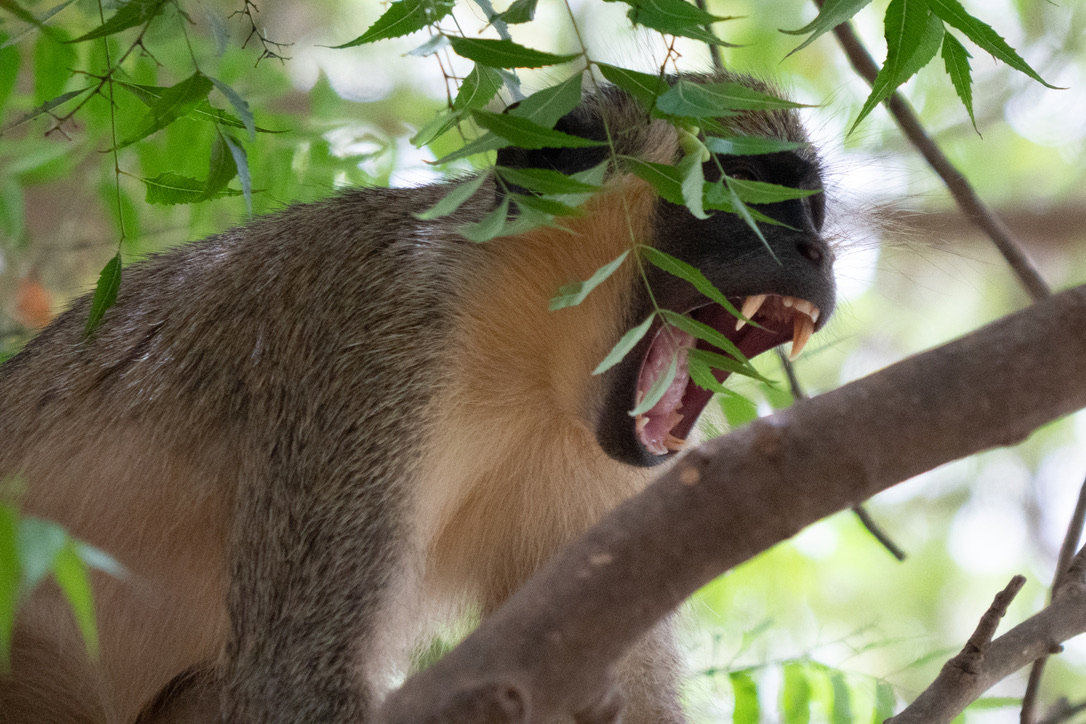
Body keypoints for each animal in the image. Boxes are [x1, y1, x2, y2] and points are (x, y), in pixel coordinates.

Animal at [0, 70, 835, 723]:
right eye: (750, 188)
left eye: (813, 208)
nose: (817, 250)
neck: (519, 359)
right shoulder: (370, 340)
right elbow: (291, 683)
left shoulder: (592, 475)